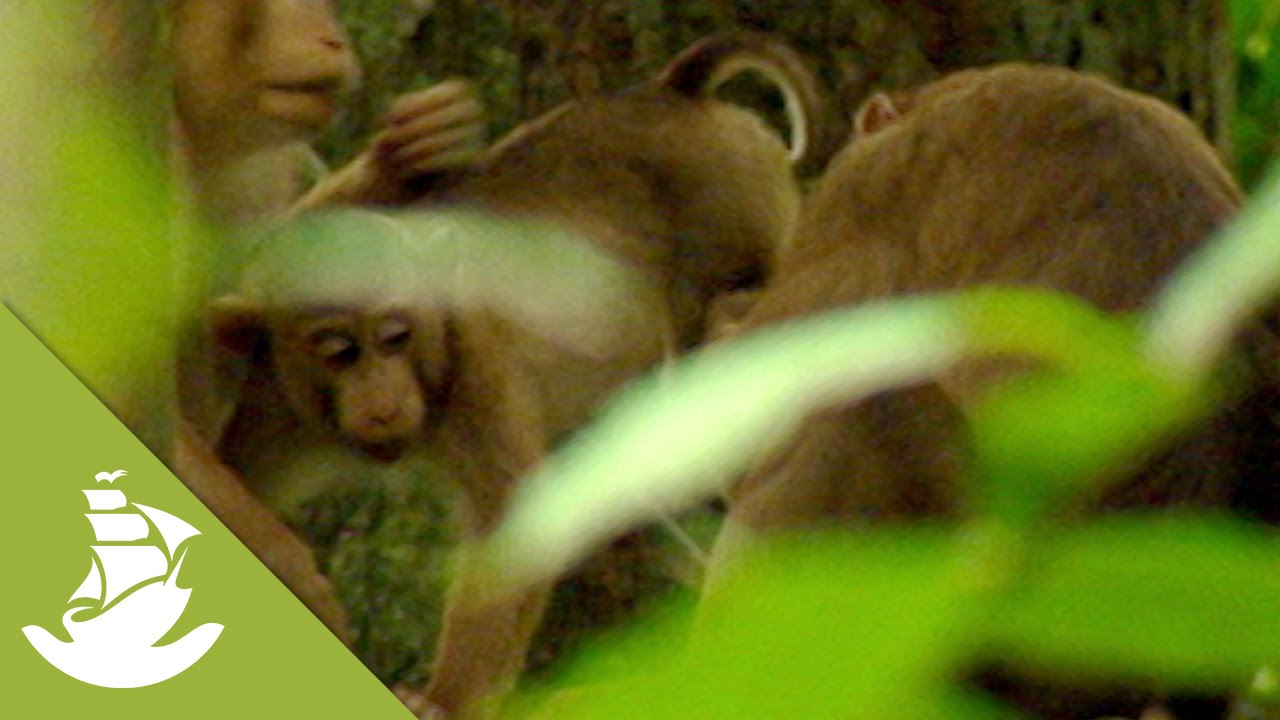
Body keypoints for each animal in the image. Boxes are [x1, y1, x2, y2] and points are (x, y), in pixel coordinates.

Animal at [206, 31, 822, 719]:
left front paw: (446, 700)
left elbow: (511, 521)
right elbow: (231, 480)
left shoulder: (479, 371)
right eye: (339, 351)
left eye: (394, 337)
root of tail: (669, 93)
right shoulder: (280, 396)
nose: (382, 403)